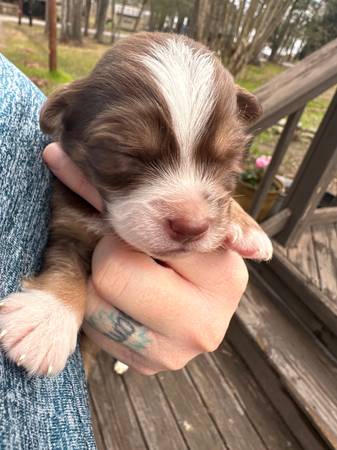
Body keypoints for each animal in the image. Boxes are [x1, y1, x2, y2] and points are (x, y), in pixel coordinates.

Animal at [0, 32, 270, 376]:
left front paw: (247, 226)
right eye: (126, 154)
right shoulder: (70, 222)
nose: (191, 225)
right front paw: (47, 321)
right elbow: (66, 264)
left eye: (227, 159)